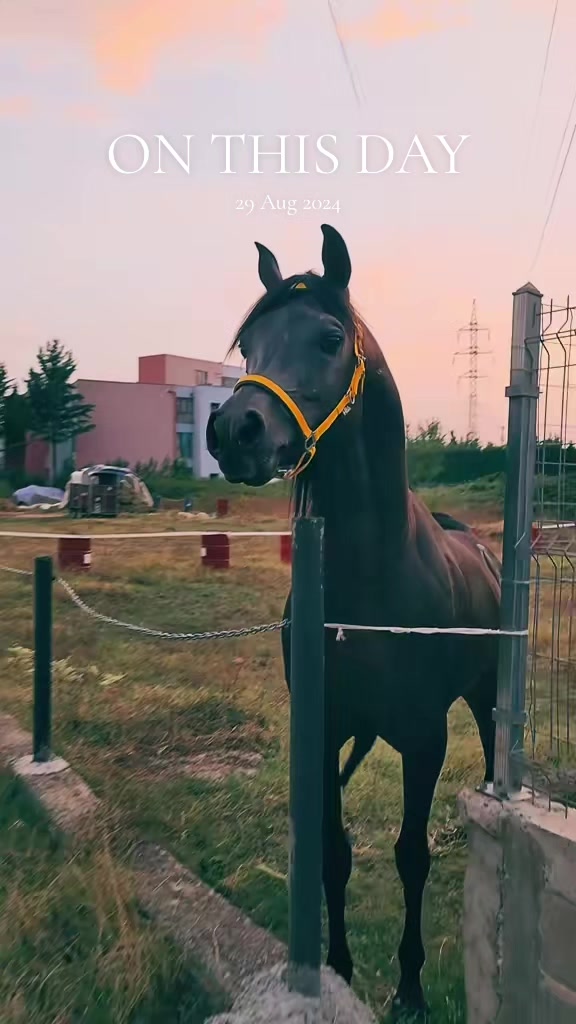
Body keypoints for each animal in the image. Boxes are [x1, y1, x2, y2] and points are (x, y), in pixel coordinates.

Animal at [206, 224, 501, 1019]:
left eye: (330, 337)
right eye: (247, 344)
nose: (234, 429)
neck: (371, 586)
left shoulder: (426, 738)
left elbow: (410, 854)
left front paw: (411, 988)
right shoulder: (325, 726)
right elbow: (333, 854)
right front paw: (337, 966)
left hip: (485, 697)